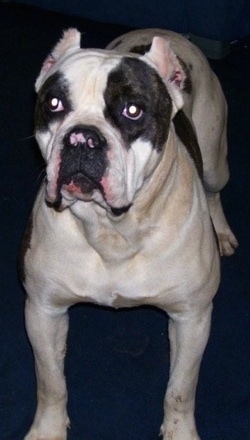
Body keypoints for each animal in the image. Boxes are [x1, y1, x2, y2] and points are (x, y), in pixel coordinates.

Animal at [20, 28, 237, 440]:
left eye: (132, 111)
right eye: (54, 103)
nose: (82, 138)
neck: (112, 229)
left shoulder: (192, 318)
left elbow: (180, 390)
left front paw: (180, 432)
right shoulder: (44, 309)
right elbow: (50, 383)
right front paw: (48, 430)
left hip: (216, 162)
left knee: (215, 190)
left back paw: (222, 231)